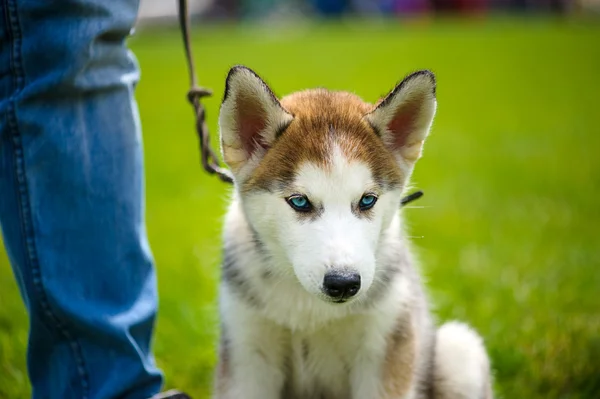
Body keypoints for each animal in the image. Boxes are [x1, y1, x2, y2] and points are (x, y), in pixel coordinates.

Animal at [213, 66, 494, 399]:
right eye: (299, 201)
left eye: (367, 200)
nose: (344, 283)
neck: (312, 312)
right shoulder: (247, 351)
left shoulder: (386, 347)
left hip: (459, 349)